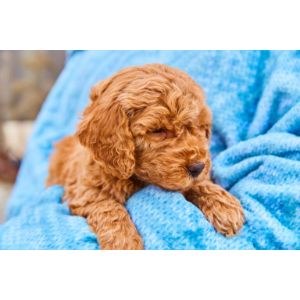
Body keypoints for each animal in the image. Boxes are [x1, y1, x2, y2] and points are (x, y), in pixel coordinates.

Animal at [47, 64, 244, 250]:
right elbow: (107, 207)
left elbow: (196, 184)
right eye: (158, 131)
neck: (135, 177)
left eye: (200, 128)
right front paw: (123, 242)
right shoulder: (82, 190)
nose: (198, 167)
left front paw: (223, 205)